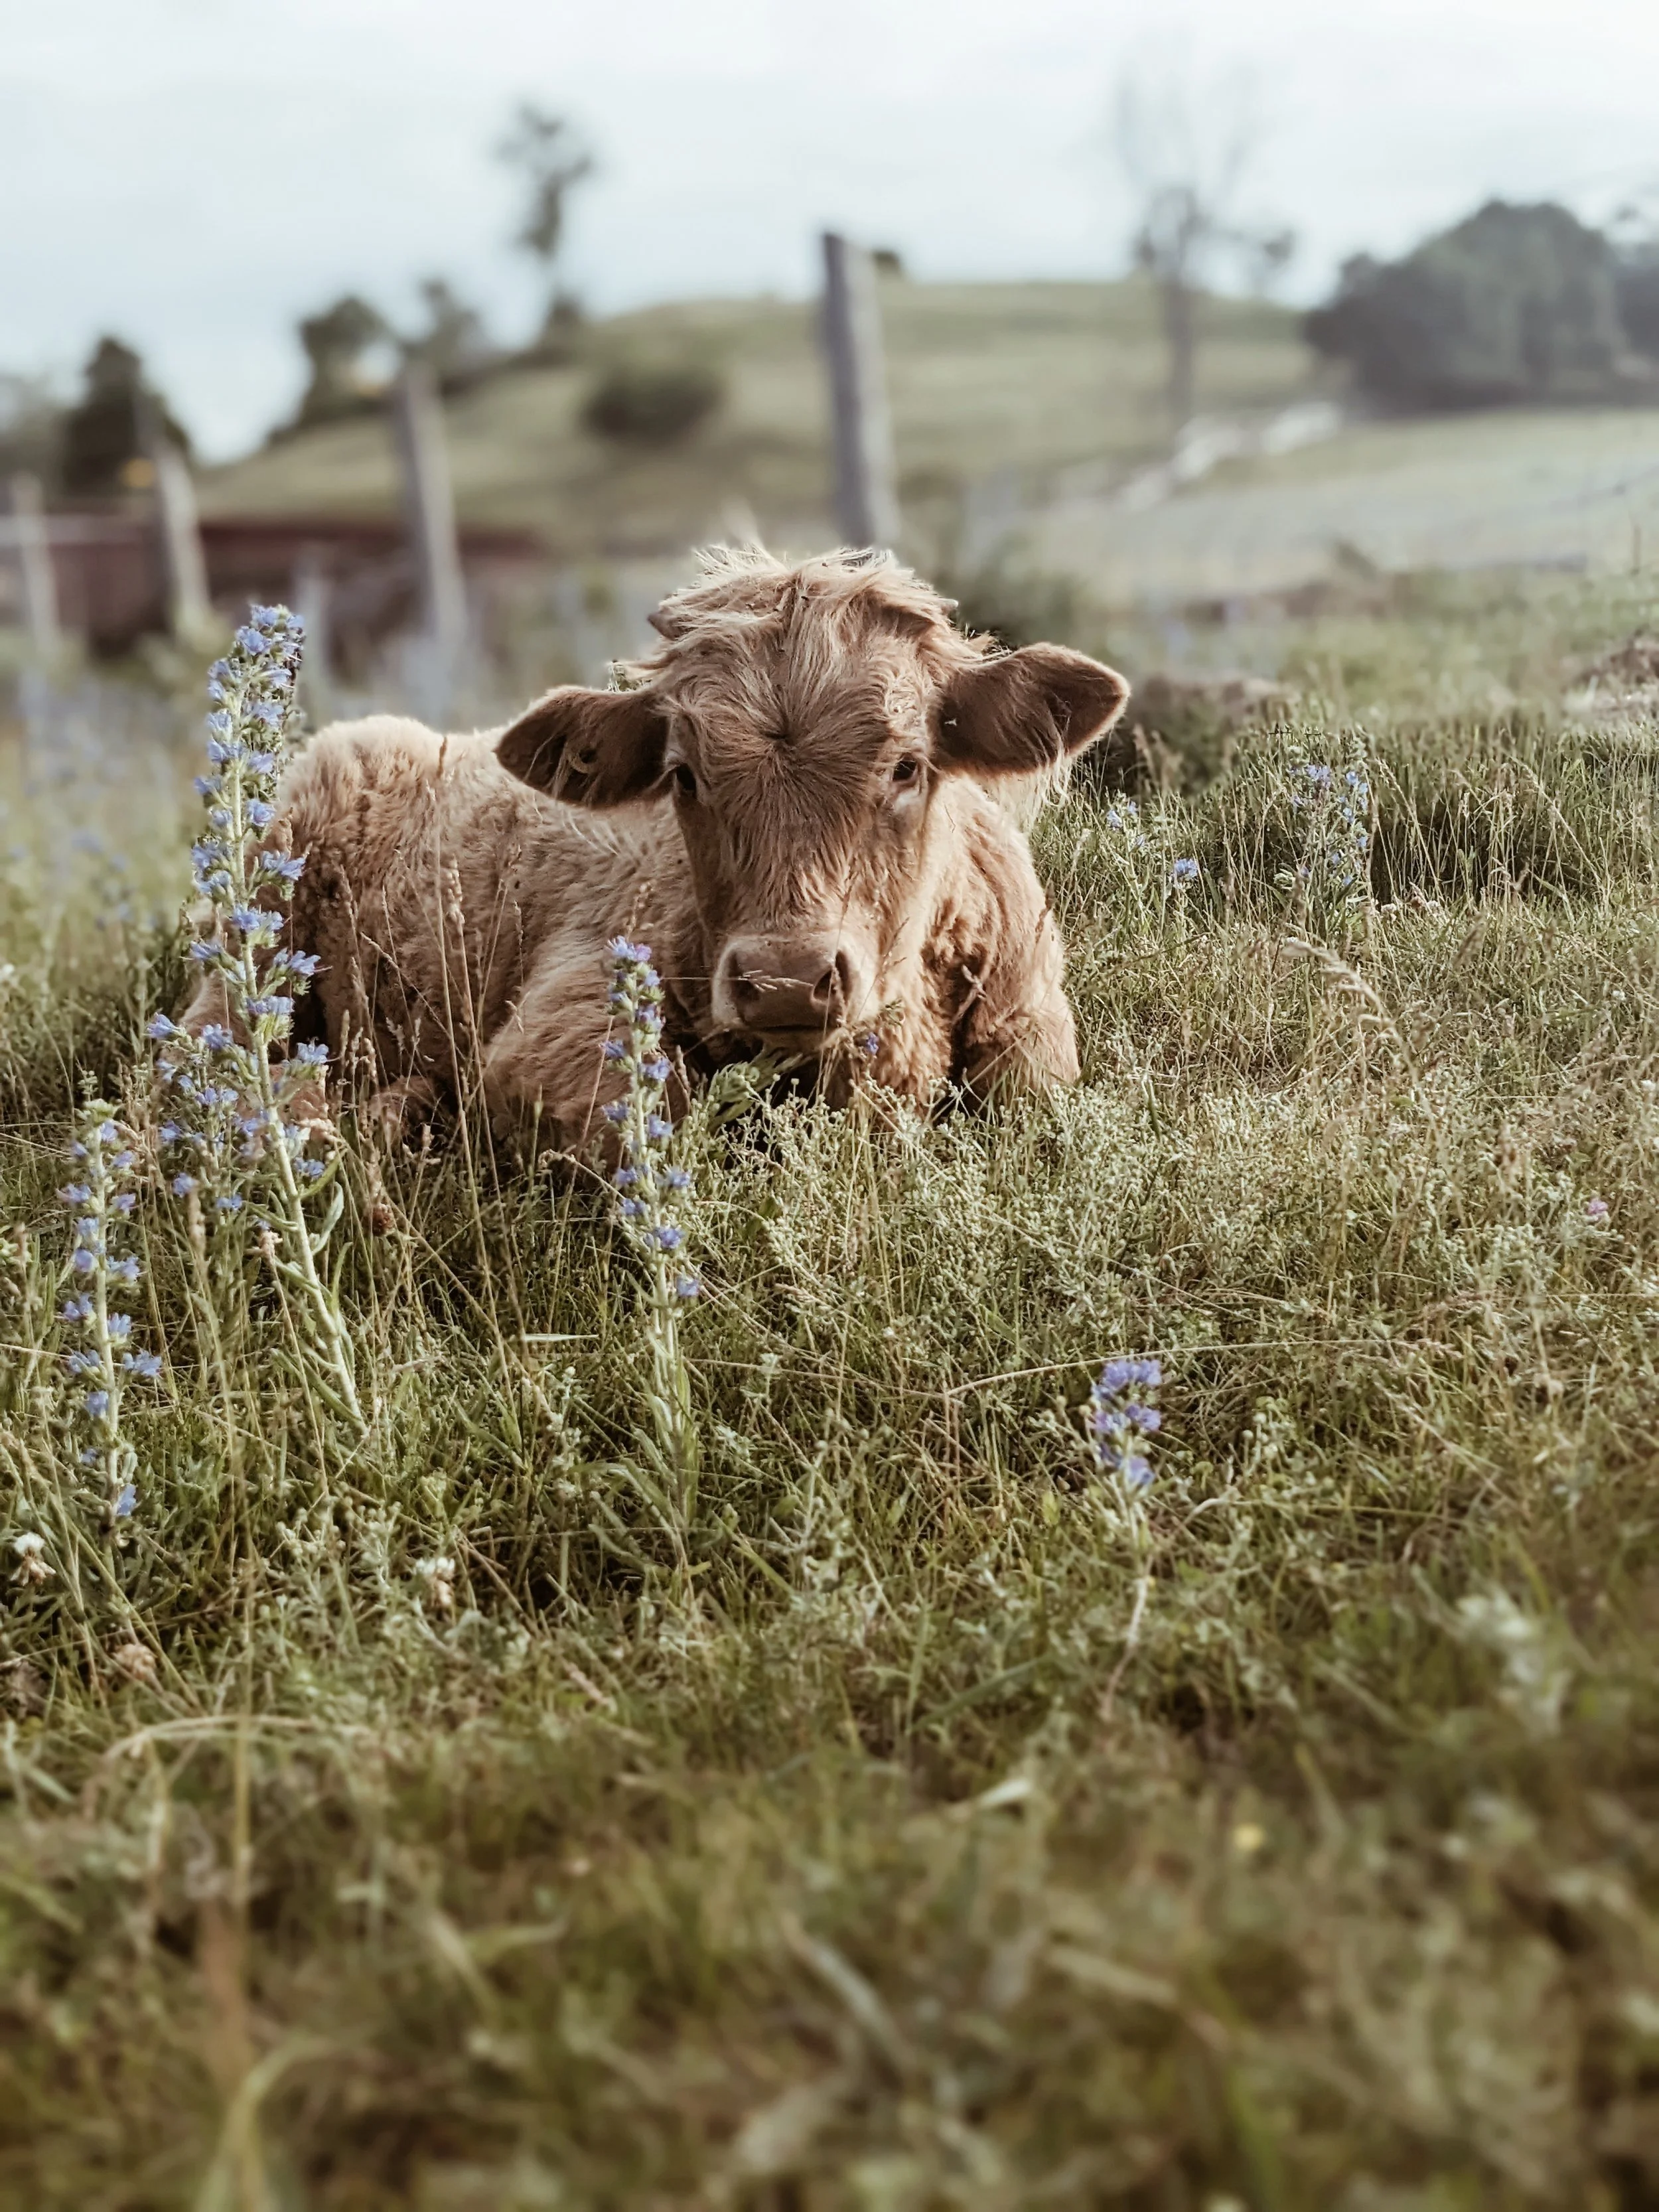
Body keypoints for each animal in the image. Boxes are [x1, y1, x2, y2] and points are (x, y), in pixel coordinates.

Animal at [190, 547, 1130, 1151]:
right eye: (684, 776)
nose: (786, 980)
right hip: (251, 955)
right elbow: (658, 1117)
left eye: (907, 765)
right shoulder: (553, 1029)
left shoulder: (1033, 1038)